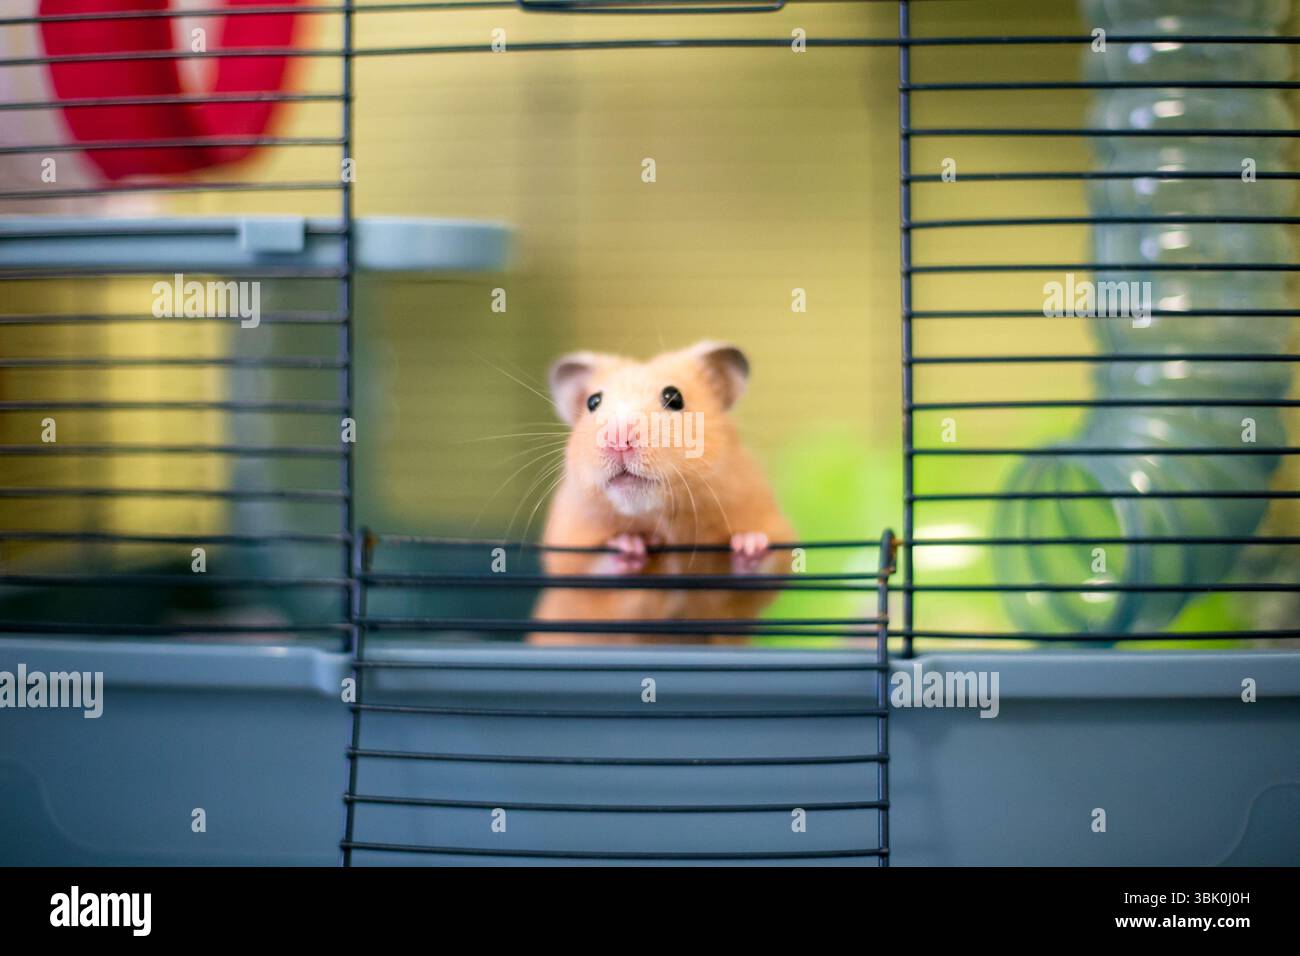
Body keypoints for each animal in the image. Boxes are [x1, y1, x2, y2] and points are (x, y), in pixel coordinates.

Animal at [530, 341, 794, 645]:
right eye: (592, 402)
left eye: (674, 397)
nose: (618, 438)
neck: (661, 517)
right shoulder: (567, 550)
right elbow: (591, 569)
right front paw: (631, 546)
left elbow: (762, 570)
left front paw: (749, 543)